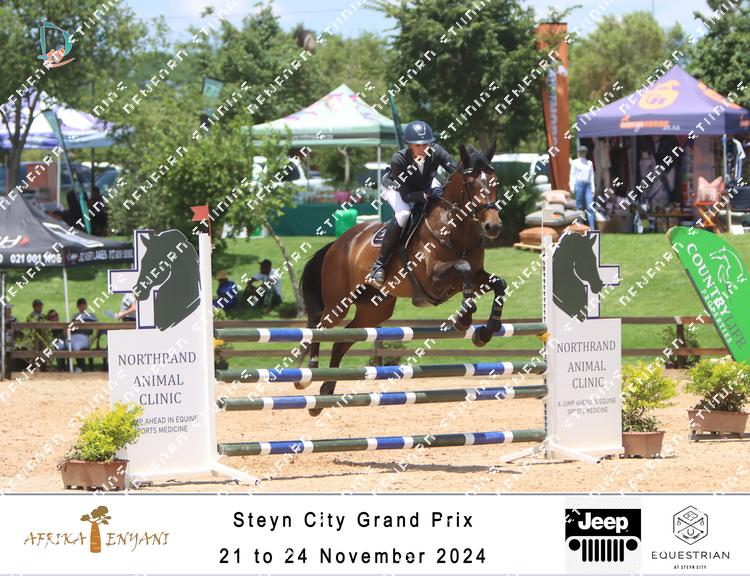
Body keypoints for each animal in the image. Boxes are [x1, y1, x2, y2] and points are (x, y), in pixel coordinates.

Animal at [296, 143, 507, 415]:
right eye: (470, 183)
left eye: (494, 181)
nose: (493, 227)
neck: (458, 228)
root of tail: (338, 243)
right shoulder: (433, 280)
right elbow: (462, 267)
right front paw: (464, 319)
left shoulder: (477, 276)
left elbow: (498, 283)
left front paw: (485, 332)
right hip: (338, 302)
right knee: (321, 328)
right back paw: (308, 375)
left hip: (375, 309)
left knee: (342, 342)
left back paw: (326, 390)